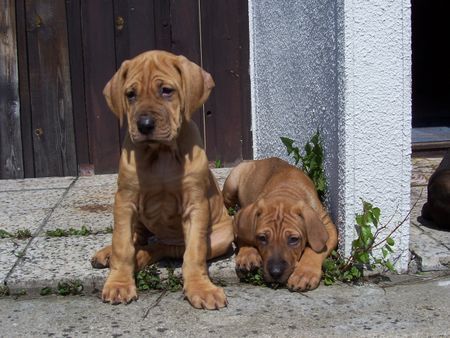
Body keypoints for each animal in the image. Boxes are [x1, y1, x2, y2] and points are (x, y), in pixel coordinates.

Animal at [90, 49, 234, 308]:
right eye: (130, 95)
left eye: (167, 90)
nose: (144, 124)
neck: (161, 153)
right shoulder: (125, 201)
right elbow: (122, 244)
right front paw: (119, 283)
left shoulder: (196, 205)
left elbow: (194, 253)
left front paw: (200, 288)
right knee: (137, 238)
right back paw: (108, 253)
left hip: (222, 237)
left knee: (166, 248)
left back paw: (142, 257)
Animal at [223, 158, 336, 290]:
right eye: (262, 238)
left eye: (293, 239)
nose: (275, 273)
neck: (286, 189)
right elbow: (244, 236)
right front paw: (248, 255)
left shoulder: (328, 227)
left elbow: (315, 250)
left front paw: (304, 273)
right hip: (231, 185)